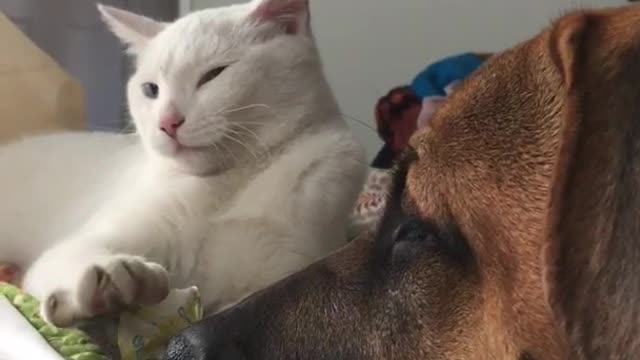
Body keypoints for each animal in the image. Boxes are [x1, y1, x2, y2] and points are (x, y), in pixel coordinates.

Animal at [0, 0, 368, 326]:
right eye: (150, 90)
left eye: (213, 75)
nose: (168, 122)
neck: (228, 183)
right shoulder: (82, 243)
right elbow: (84, 258)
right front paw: (115, 280)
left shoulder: (281, 275)